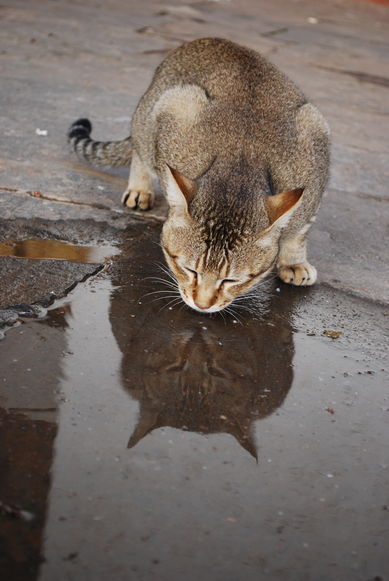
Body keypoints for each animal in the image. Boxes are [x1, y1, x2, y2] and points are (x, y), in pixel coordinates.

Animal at [68, 36, 328, 312]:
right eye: (189, 270)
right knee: (141, 149)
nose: (202, 305)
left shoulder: (314, 169)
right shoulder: (172, 118)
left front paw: (293, 261)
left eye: (231, 280)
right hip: (158, 109)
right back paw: (140, 188)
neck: (239, 171)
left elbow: (299, 231)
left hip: (312, 117)